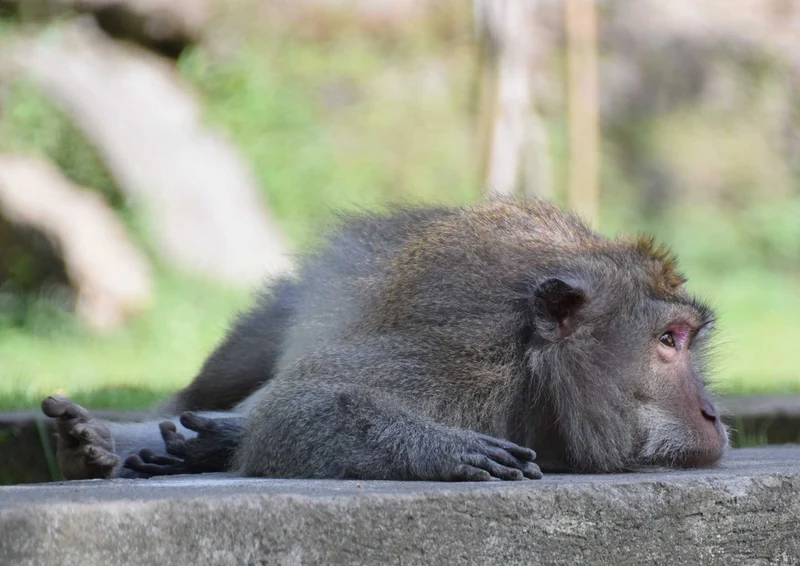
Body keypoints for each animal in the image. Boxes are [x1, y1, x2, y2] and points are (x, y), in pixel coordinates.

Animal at [41, 199, 728, 481]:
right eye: (668, 339)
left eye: (687, 340)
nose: (714, 414)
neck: (536, 374)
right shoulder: (462, 360)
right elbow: (298, 409)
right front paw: (440, 450)